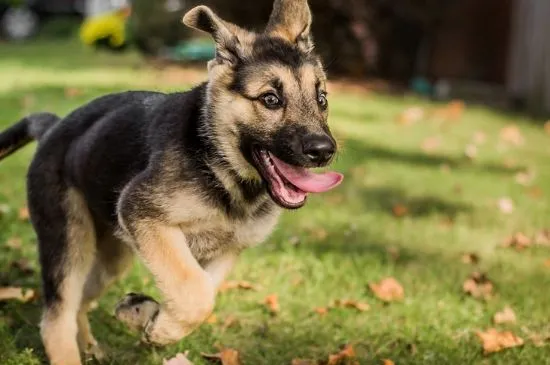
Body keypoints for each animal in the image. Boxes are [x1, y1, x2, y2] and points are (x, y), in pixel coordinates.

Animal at [0, 1, 344, 362]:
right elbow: (195, 291)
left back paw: (94, 344)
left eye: (322, 99)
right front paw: (159, 328)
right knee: (58, 314)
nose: (324, 151)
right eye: (270, 99)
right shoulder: (144, 214)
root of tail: (53, 127)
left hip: (112, 254)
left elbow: (202, 290)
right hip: (70, 238)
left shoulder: (227, 249)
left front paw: (148, 317)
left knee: (81, 299)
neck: (219, 166)